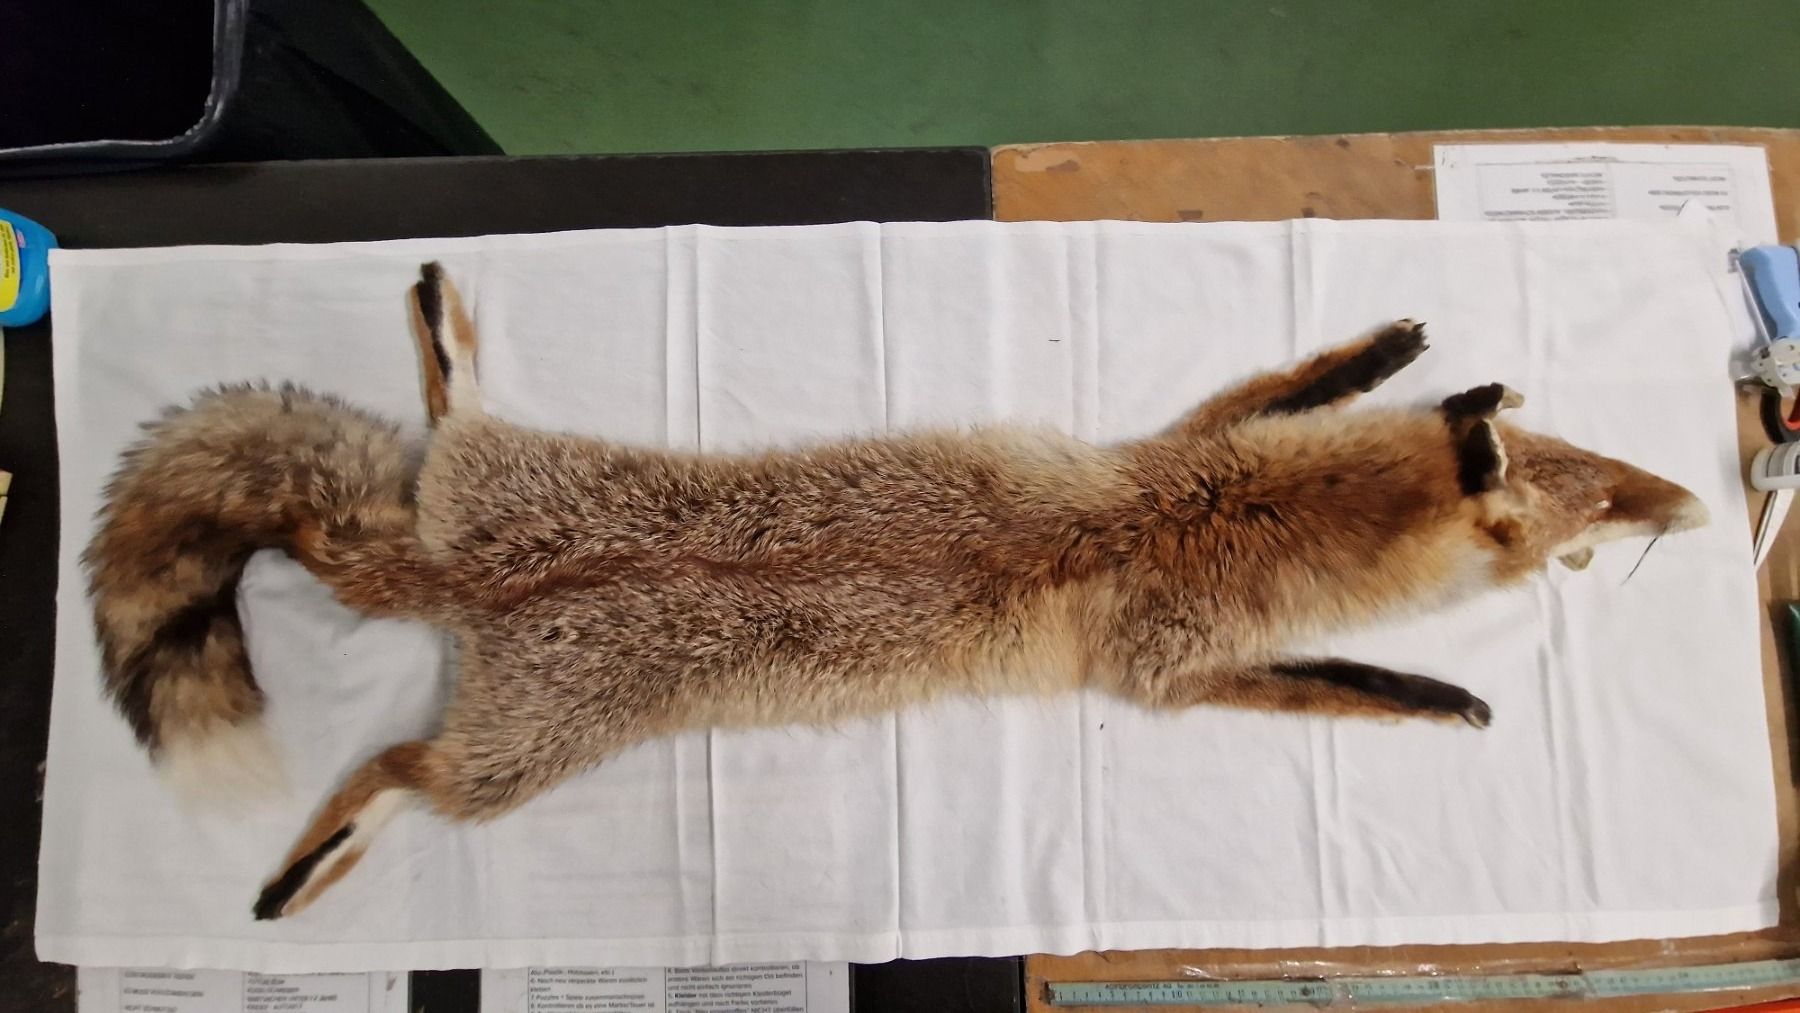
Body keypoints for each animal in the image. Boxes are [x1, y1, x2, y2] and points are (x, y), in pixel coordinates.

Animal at [84, 264, 1709, 921]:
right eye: (1586, 503)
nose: (1687, 501)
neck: (1202, 521)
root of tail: (462, 578)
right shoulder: (1168, 663)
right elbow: (1348, 685)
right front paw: (1438, 692)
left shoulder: (1173, 446)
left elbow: (1279, 387)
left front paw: (1377, 354)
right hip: (509, 768)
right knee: (394, 768)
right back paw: (304, 868)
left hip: (493, 514)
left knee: (440, 432)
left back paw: (442, 327)